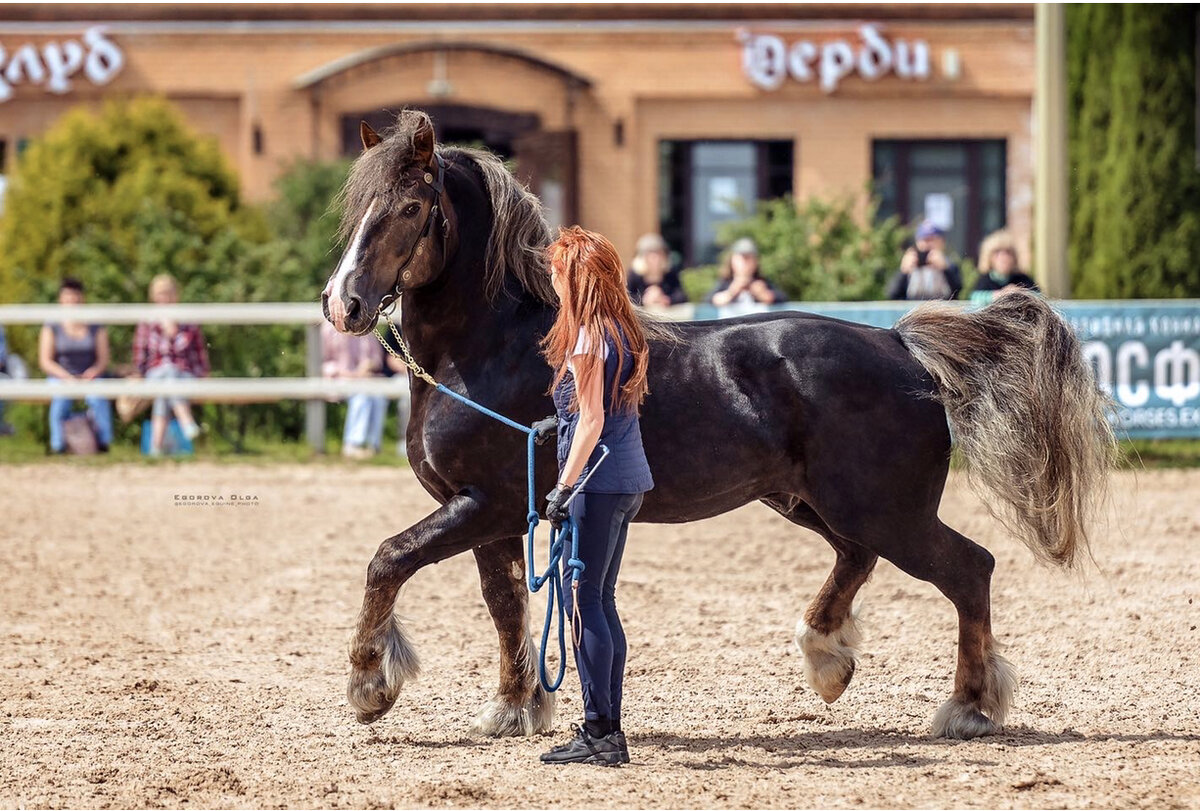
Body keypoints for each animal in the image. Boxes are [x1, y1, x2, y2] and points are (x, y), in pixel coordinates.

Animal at [321, 112, 1113, 739]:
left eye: (410, 206)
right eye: (358, 205)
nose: (343, 303)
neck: (494, 347)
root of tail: (901, 345)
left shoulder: (482, 504)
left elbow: (389, 559)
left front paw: (369, 686)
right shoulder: (494, 513)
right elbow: (506, 605)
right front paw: (514, 708)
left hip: (884, 509)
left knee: (967, 569)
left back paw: (967, 707)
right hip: (810, 500)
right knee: (858, 558)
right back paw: (828, 656)